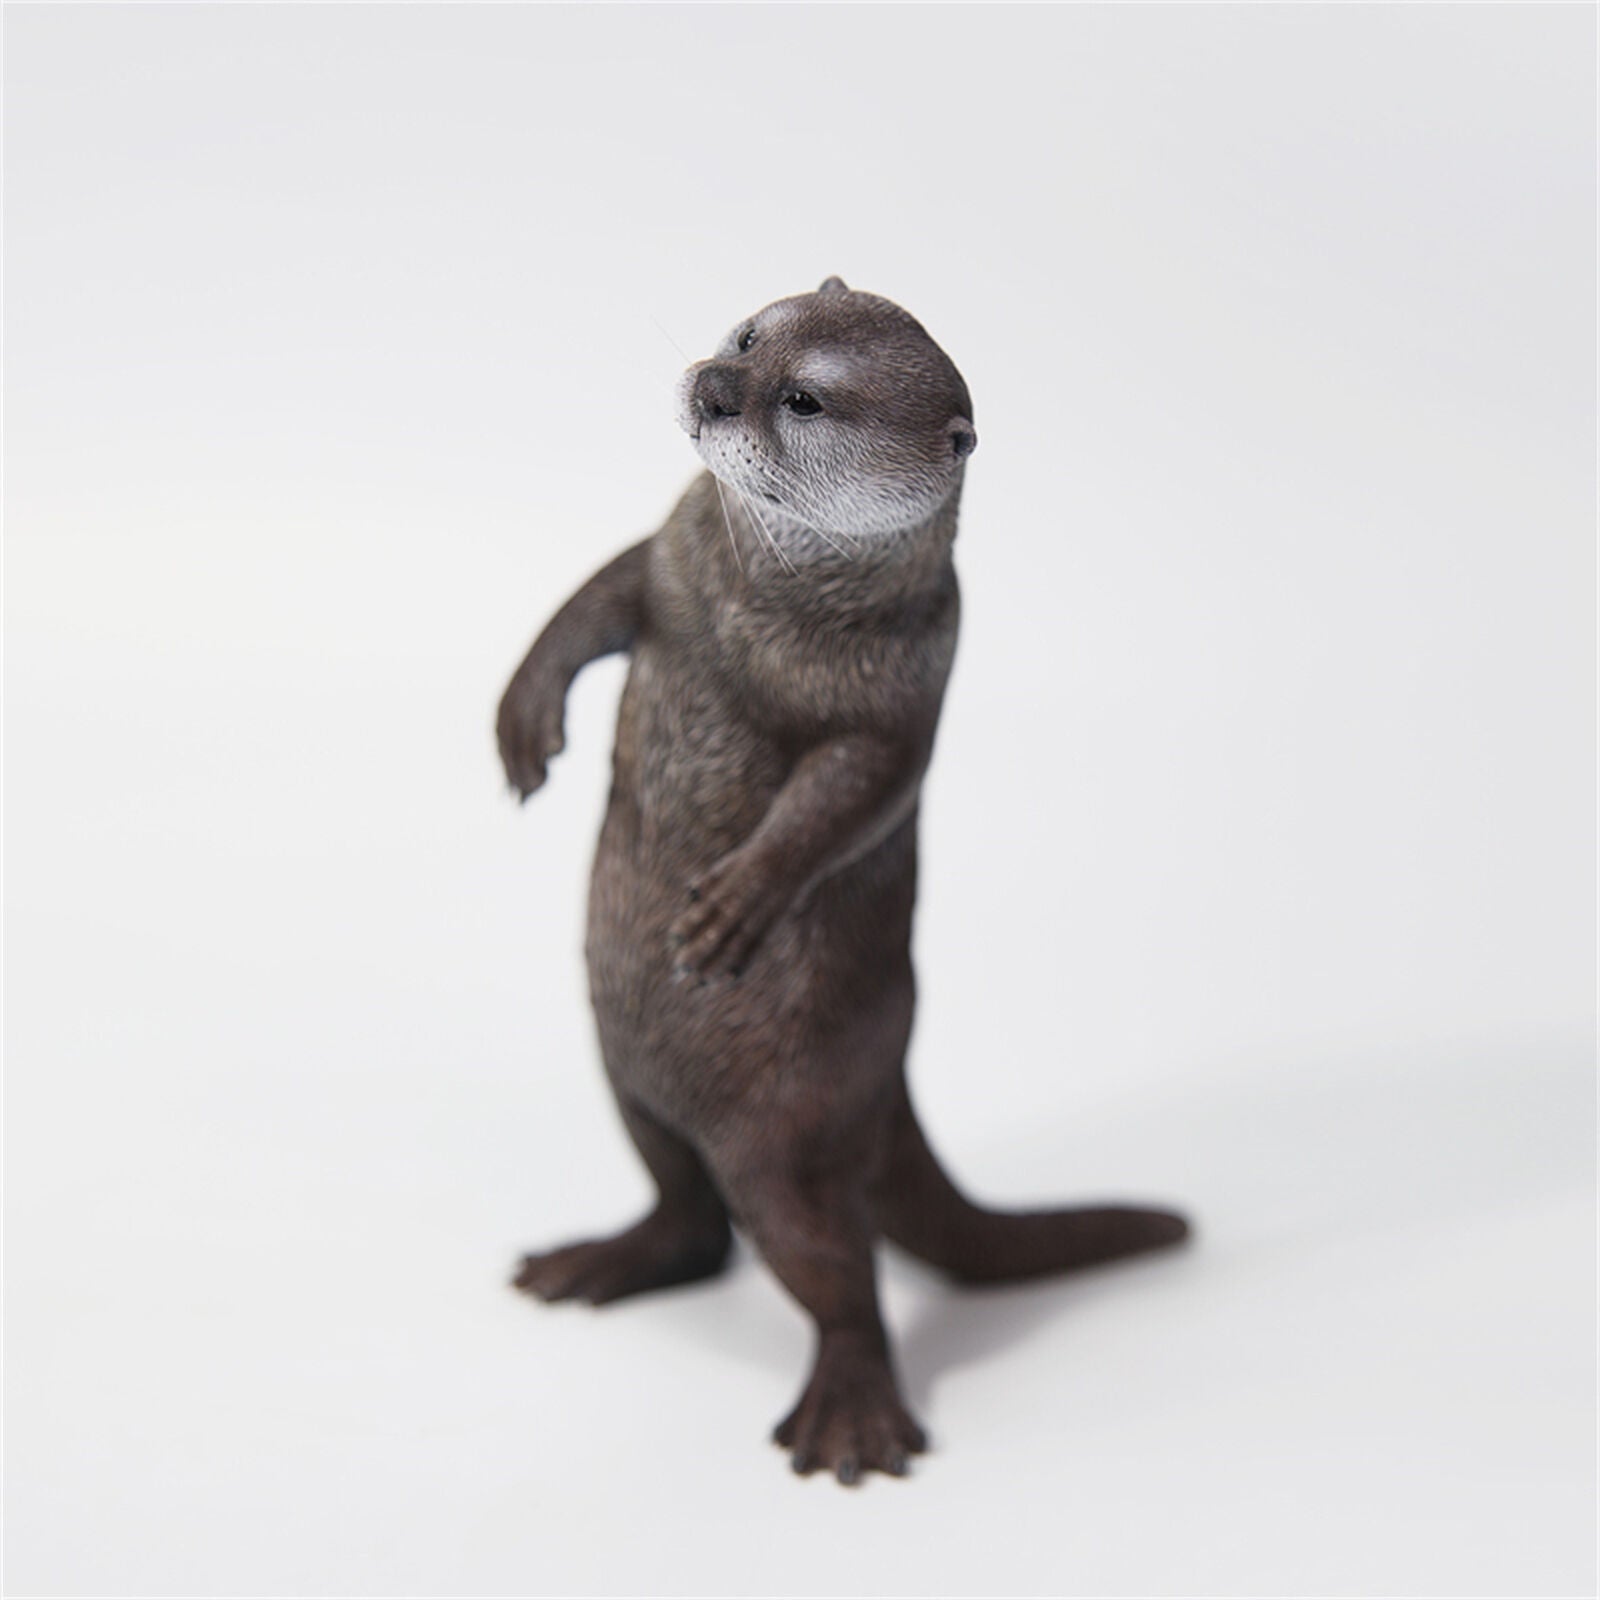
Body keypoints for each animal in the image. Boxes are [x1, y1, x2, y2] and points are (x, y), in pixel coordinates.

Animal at [496, 278, 1189, 1484]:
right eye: (745, 335)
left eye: (806, 400)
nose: (714, 387)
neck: (762, 613)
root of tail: (889, 1084)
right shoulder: (673, 556)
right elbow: (593, 597)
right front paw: (523, 719)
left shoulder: (905, 680)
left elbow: (851, 791)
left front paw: (734, 905)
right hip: (626, 1077)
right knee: (687, 1212)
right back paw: (597, 1261)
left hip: (788, 1132)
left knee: (833, 1271)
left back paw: (849, 1415)